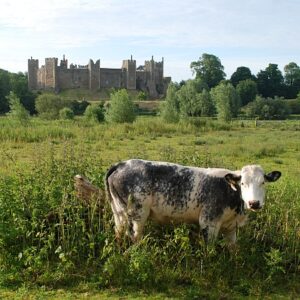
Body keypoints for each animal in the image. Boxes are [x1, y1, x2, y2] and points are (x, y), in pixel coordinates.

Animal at [105, 159, 282, 246]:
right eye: (243, 183)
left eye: (263, 183)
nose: (254, 203)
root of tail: (121, 164)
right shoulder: (209, 221)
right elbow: (209, 249)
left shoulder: (232, 227)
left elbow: (233, 249)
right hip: (137, 214)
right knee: (134, 236)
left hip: (118, 212)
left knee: (119, 232)